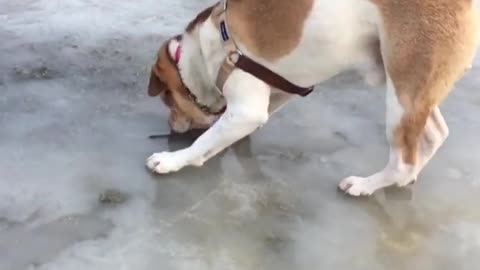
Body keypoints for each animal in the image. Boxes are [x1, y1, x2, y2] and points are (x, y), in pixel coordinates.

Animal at [147, 0, 480, 195]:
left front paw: (174, 159)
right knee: (435, 134)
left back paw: (366, 185)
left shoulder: (247, 107)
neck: (206, 51)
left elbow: (205, 140)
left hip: (402, 93)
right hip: (408, 85)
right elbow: (234, 128)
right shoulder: (278, 89)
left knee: (403, 162)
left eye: (168, 100)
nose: (171, 126)